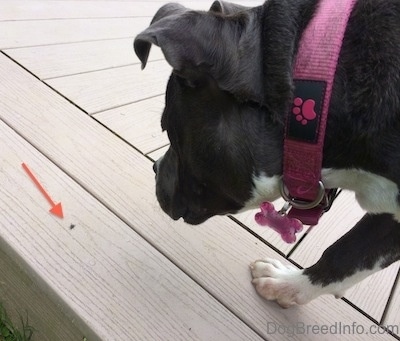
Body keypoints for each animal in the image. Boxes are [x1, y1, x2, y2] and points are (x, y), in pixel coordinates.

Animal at [135, 0, 400, 306]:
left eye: (167, 130)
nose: (154, 166)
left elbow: (345, 255)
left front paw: (285, 285)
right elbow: (351, 256)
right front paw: (288, 285)